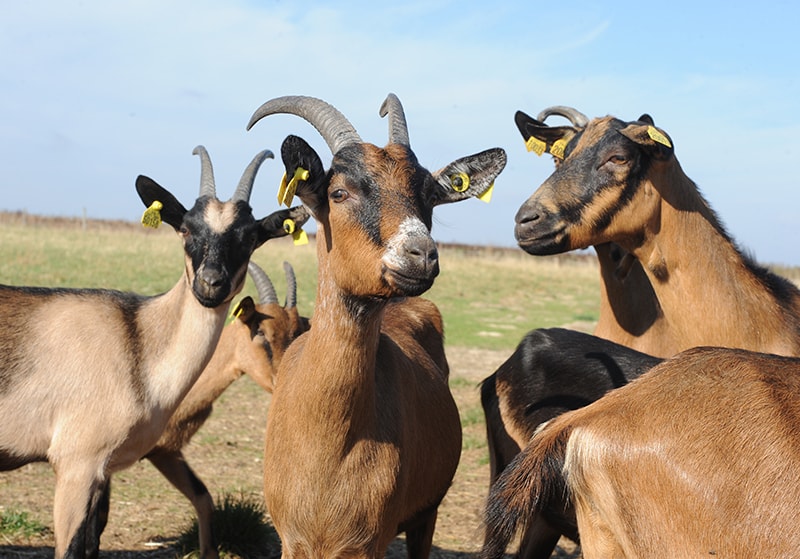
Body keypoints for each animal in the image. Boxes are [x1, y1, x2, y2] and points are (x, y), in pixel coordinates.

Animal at [90, 262, 310, 559]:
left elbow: (203, 498)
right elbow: (97, 523)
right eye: (260, 331)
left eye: (296, 331)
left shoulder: (165, 452)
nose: (286, 380)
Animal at [244, 94, 506, 556]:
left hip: (426, 514)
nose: (420, 255)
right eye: (338, 192)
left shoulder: (369, 542)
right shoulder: (291, 539)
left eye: (429, 197)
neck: (325, 445)